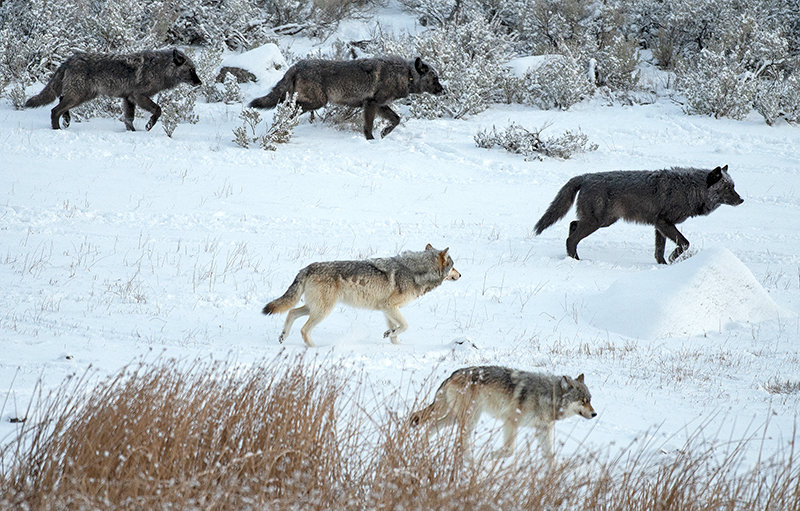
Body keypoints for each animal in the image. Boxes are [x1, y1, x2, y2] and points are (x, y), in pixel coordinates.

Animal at [25, 48, 202, 131]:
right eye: (191, 70)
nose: (200, 83)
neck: (160, 69)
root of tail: (68, 60)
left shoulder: (128, 99)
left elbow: (128, 120)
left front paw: (133, 133)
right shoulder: (138, 96)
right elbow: (158, 110)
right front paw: (148, 126)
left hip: (83, 96)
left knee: (60, 102)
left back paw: (66, 121)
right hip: (79, 96)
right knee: (55, 110)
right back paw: (57, 129)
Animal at [248, 56, 444, 140]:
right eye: (435, 78)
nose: (444, 91)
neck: (406, 75)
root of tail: (297, 65)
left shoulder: (380, 105)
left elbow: (396, 119)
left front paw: (385, 132)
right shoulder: (371, 104)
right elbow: (368, 127)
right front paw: (371, 141)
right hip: (317, 102)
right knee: (290, 108)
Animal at [262, 244, 460, 347]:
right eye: (453, 266)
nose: (460, 275)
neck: (414, 272)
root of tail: (307, 267)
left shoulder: (386, 309)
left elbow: (395, 331)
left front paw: (394, 343)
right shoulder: (389, 307)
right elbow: (404, 325)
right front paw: (392, 335)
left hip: (314, 307)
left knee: (291, 312)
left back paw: (283, 336)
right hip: (323, 311)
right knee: (304, 329)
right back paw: (315, 349)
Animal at [410, 366, 596, 459]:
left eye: (590, 399)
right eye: (582, 401)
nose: (594, 414)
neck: (546, 396)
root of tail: (452, 374)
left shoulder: (543, 429)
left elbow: (550, 456)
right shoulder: (511, 421)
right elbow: (509, 451)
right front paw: (493, 455)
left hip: (458, 417)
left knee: (431, 426)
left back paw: (424, 447)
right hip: (469, 419)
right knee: (459, 440)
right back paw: (468, 459)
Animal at [533, 165, 744, 264]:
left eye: (733, 186)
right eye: (727, 188)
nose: (742, 200)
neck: (689, 189)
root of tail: (585, 176)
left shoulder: (659, 226)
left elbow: (659, 251)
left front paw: (663, 265)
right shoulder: (664, 223)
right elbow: (685, 243)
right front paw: (673, 258)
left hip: (602, 221)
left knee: (572, 226)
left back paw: (572, 258)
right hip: (598, 222)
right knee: (571, 237)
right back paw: (576, 260)